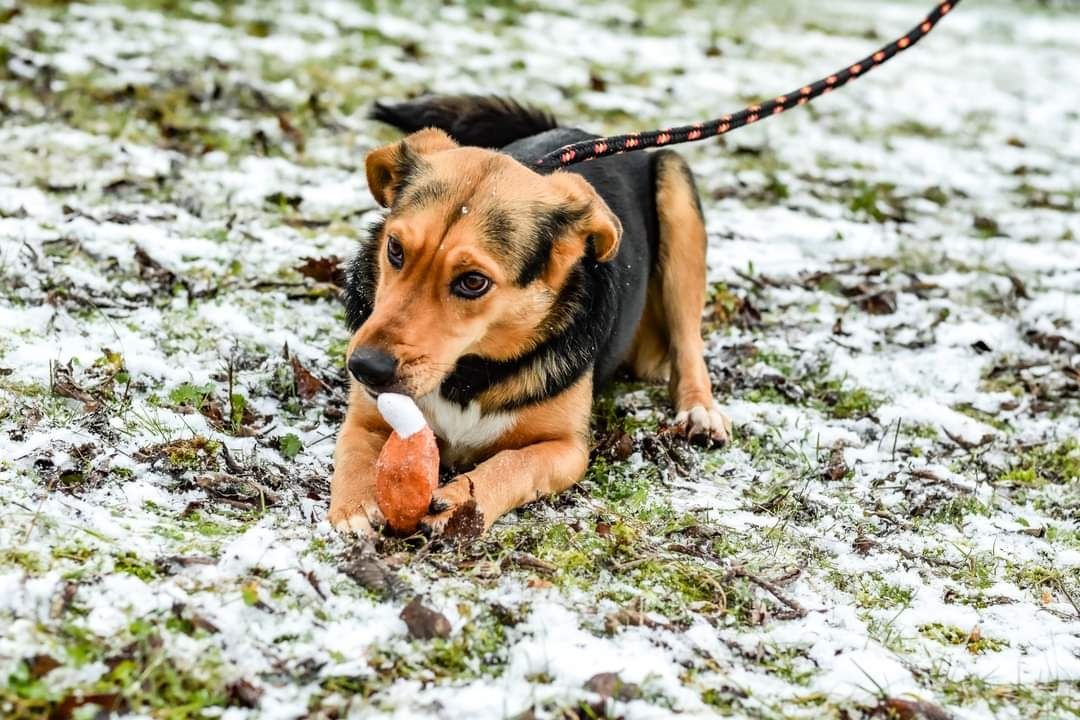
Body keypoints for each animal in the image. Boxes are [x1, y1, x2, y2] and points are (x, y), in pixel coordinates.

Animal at [326, 94, 734, 535]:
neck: (469, 373)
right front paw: (355, 506)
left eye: (474, 282)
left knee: (688, 341)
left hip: (676, 189)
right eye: (395, 250)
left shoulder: (567, 448)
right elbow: (354, 448)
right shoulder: (364, 418)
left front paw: (461, 500)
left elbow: (513, 464)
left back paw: (700, 410)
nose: (364, 367)